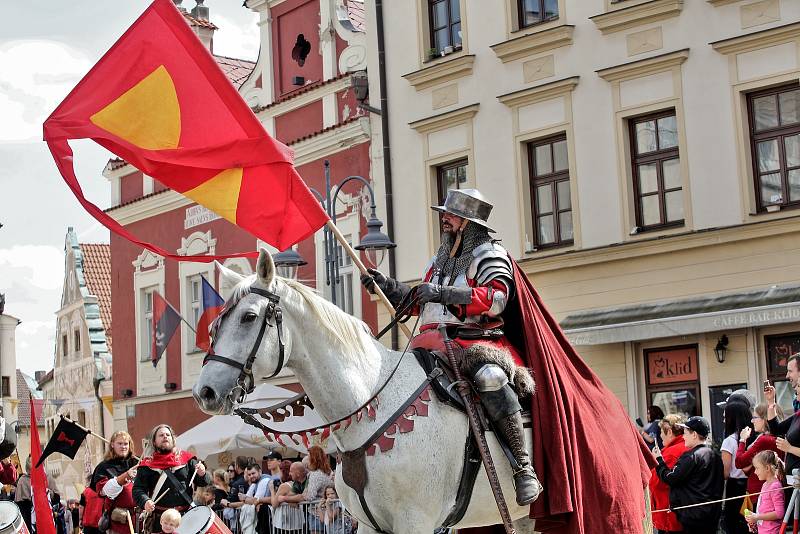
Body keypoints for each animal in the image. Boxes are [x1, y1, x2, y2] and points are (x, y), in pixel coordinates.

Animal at [192, 251, 536, 534]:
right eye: (217, 323)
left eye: (249, 317)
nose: (203, 392)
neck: (373, 403)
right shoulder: (370, 525)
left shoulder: (416, 522)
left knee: (490, 377)